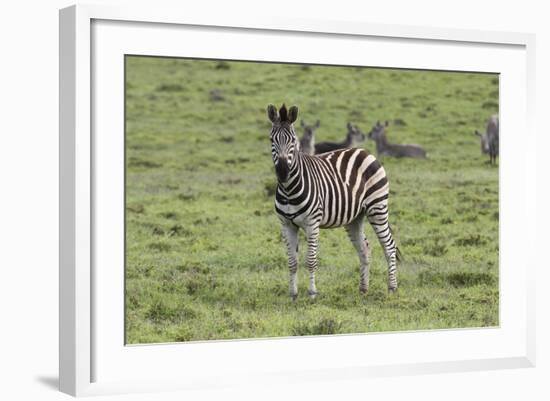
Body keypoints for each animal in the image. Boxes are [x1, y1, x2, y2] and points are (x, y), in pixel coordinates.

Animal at [268, 103, 402, 300]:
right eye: (272, 140)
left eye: (293, 140)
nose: (283, 172)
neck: (289, 189)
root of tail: (364, 151)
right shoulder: (286, 224)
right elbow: (292, 262)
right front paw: (292, 295)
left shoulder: (312, 223)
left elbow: (311, 260)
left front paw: (312, 294)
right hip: (355, 218)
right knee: (365, 249)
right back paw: (363, 289)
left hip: (377, 207)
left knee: (390, 247)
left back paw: (392, 288)